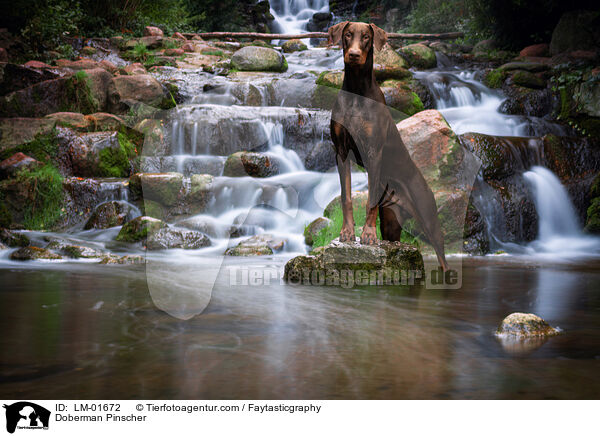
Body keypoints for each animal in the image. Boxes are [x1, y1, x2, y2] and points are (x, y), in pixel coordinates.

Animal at [326, 23, 448, 272]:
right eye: (347, 35)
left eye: (366, 37)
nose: (354, 55)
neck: (356, 90)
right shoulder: (341, 151)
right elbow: (345, 196)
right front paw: (347, 232)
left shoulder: (374, 152)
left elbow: (370, 200)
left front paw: (368, 236)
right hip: (391, 223)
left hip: (428, 219)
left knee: (441, 255)